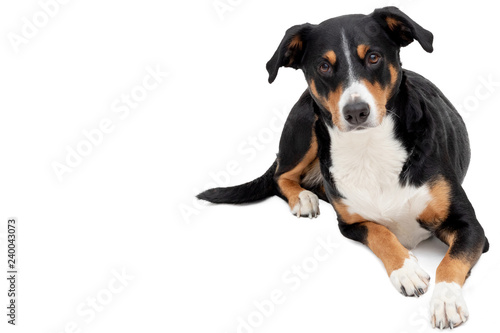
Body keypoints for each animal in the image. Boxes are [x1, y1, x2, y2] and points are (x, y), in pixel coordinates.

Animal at [196, 6, 488, 328]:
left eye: (373, 57)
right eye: (324, 66)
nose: (356, 111)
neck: (369, 149)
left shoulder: (470, 226)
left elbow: (450, 262)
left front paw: (445, 301)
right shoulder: (350, 223)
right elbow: (381, 233)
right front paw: (406, 269)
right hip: (306, 127)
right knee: (280, 175)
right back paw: (304, 198)